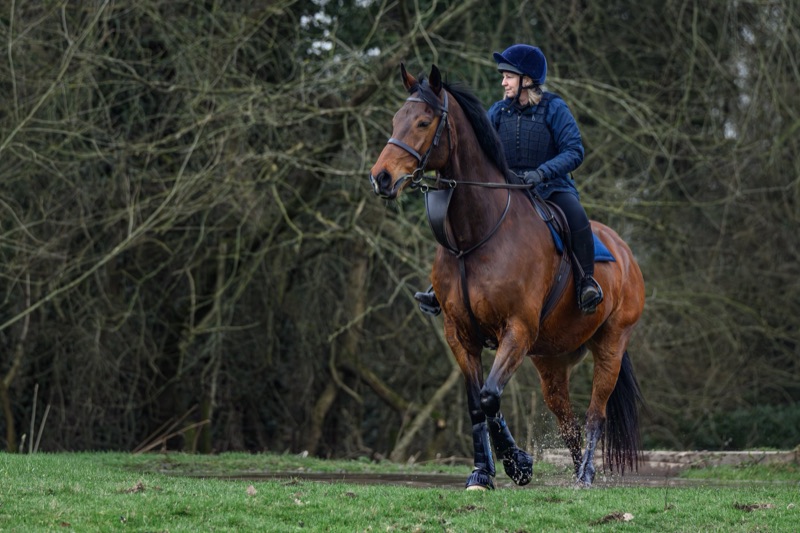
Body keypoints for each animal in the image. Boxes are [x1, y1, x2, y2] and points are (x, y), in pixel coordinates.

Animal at [369, 64, 645, 489]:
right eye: (396, 119)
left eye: (423, 121)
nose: (381, 178)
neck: (475, 237)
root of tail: (625, 253)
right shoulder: (460, 335)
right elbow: (477, 403)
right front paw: (484, 472)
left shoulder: (516, 330)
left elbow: (489, 396)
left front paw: (518, 464)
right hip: (551, 360)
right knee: (566, 420)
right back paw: (574, 471)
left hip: (610, 346)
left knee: (594, 414)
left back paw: (585, 476)